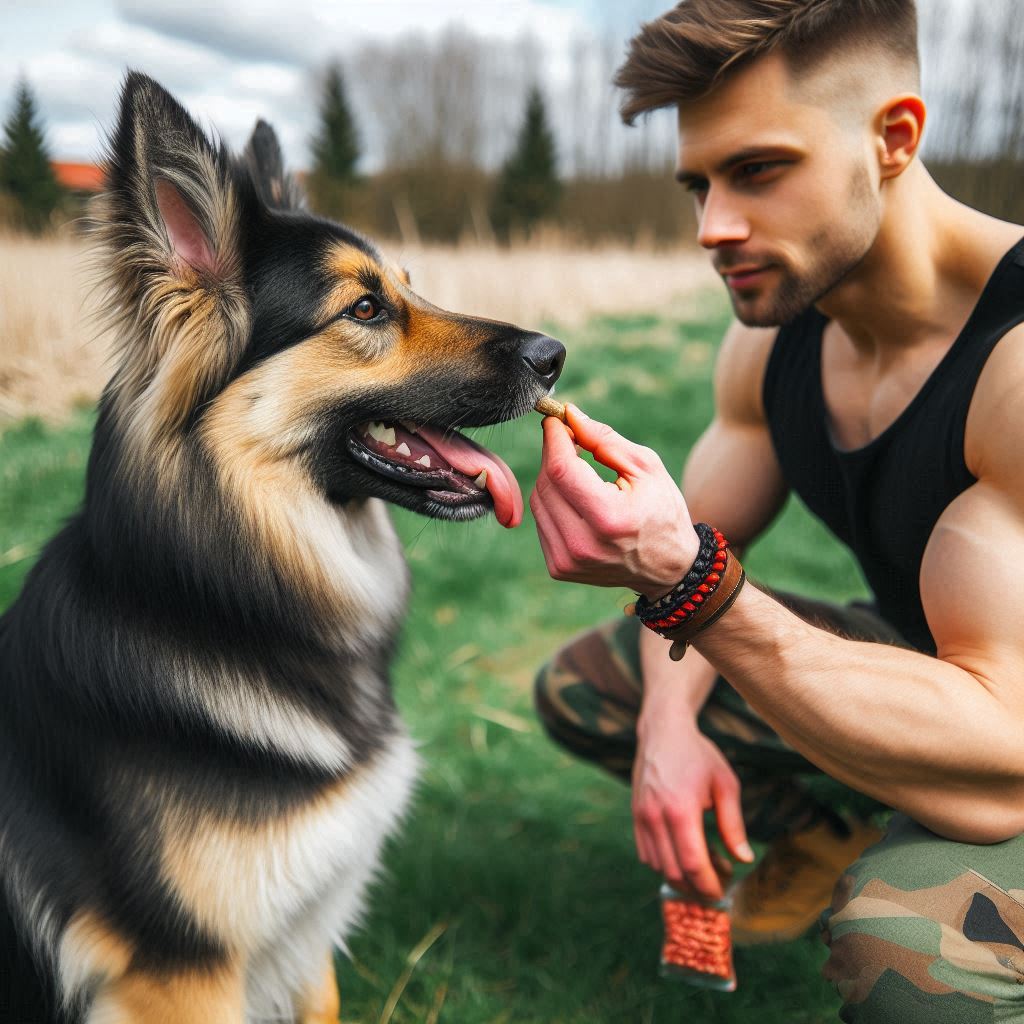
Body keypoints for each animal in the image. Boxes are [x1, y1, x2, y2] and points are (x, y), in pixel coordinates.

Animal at [0, 74, 565, 1024]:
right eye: (365, 309)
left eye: (408, 289)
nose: (554, 353)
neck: (219, 597)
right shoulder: (180, 974)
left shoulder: (305, 937)